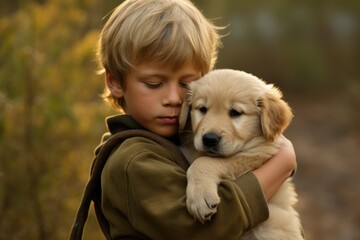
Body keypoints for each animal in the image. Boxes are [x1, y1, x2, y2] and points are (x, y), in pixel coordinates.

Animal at [180, 68, 304, 239]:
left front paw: (200, 196)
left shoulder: (260, 152)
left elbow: (204, 162)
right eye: (202, 109)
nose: (209, 139)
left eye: (235, 112)